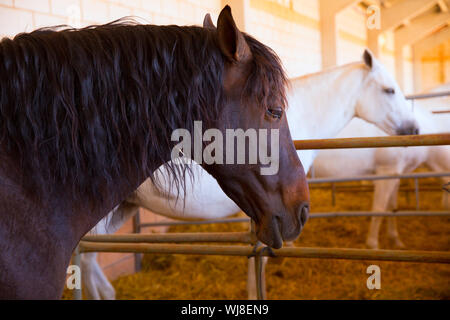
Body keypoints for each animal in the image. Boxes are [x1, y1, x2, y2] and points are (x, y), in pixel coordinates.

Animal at [314, 95, 448, 250]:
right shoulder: (386, 171)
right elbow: (379, 209)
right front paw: (373, 244)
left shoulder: (396, 173)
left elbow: (392, 206)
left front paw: (395, 240)